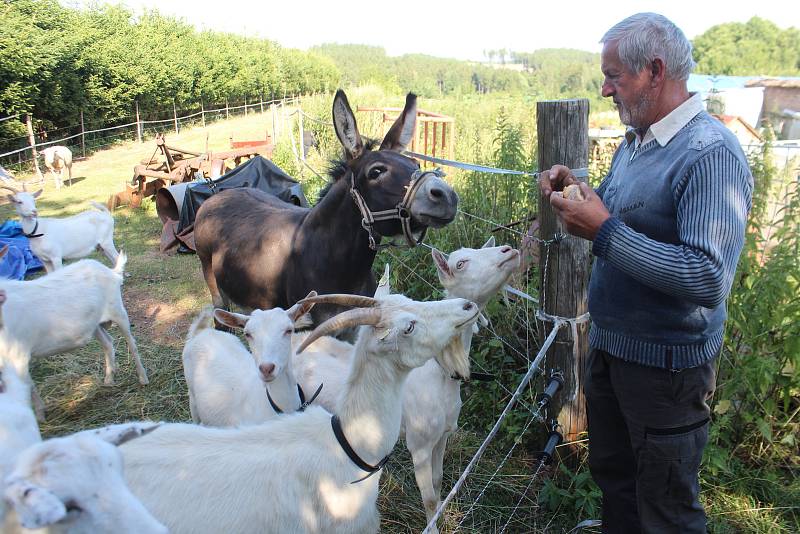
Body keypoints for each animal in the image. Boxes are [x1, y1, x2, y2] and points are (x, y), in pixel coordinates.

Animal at [0, 253, 147, 420]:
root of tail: (111, 271)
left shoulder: (18, 355)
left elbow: (26, 388)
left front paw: (39, 416)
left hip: (117, 311)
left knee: (132, 344)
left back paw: (143, 378)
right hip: (94, 324)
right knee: (108, 343)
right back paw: (109, 380)